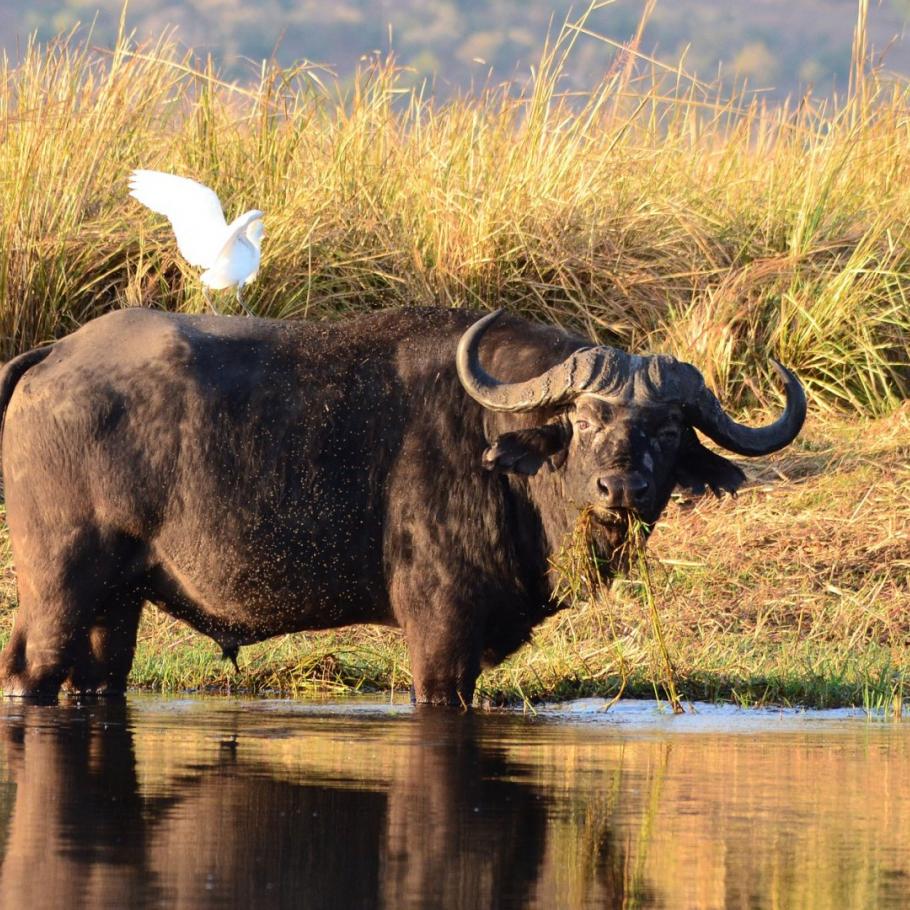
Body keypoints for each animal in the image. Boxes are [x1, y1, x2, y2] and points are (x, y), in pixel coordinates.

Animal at [0, 306, 804, 704]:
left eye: (667, 429)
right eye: (583, 419)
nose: (621, 490)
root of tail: (55, 355)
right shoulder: (440, 634)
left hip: (117, 601)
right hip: (59, 582)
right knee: (29, 670)